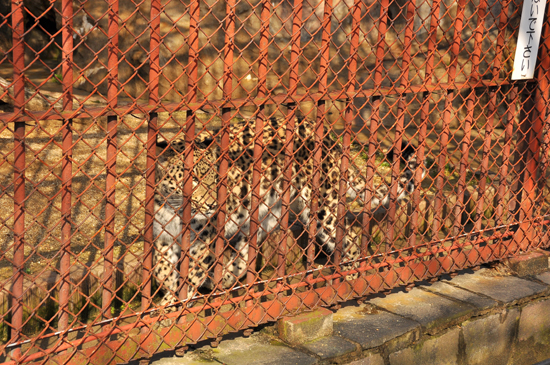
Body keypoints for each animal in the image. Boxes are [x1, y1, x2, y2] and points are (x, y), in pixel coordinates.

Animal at [153, 117, 430, 308]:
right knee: (243, 256)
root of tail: (328, 137)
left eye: (216, 180)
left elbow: (191, 273)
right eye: (193, 180)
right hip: (265, 215)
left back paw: (351, 280)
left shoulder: (204, 241)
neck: (174, 209)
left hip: (320, 210)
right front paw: (169, 289)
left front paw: (170, 306)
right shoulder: (163, 236)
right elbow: (159, 268)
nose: (213, 205)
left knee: (349, 238)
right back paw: (222, 280)